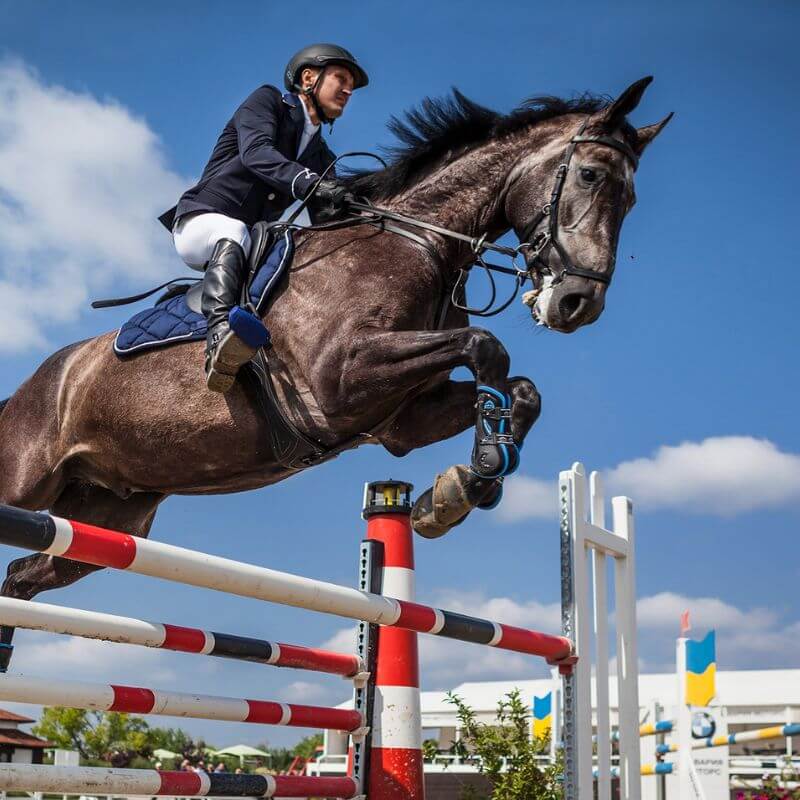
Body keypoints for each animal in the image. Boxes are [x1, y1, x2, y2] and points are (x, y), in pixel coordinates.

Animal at [0, 76, 668, 668]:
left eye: (632, 199)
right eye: (590, 175)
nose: (578, 304)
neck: (418, 245)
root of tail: (31, 389)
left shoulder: (401, 419)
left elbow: (521, 389)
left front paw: (461, 487)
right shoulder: (338, 382)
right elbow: (487, 346)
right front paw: (472, 474)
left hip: (107, 518)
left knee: (22, 577)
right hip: (27, 488)